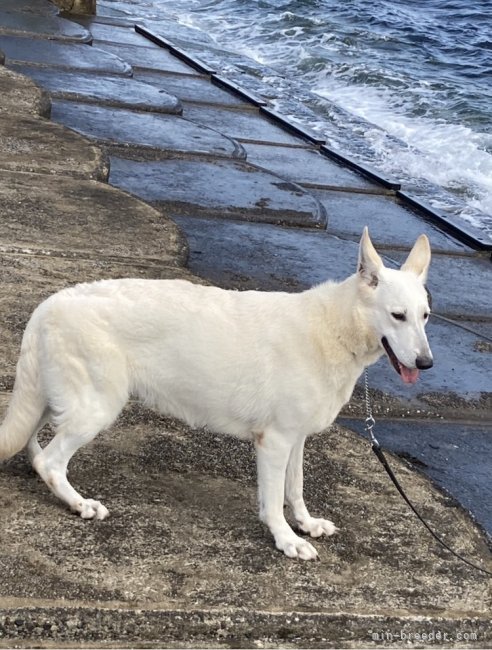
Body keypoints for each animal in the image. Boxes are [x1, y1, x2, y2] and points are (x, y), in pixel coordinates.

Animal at [0, 227, 430, 556]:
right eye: (398, 316)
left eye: (424, 316)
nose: (426, 363)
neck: (334, 328)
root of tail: (49, 303)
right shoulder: (274, 442)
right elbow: (274, 501)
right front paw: (286, 540)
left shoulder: (296, 440)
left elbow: (296, 489)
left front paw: (305, 524)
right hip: (95, 409)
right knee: (51, 462)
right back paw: (79, 503)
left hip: (53, 402)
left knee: (35, 448)